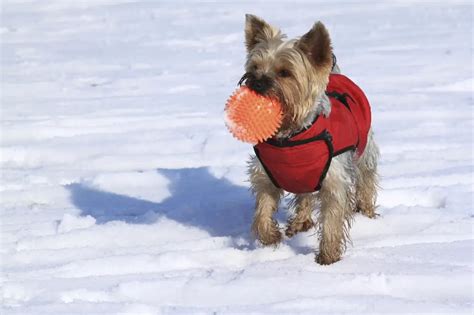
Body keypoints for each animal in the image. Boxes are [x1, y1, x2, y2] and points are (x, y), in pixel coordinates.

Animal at [243, 15, 380, 266]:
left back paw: (367, 213)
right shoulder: (266, 173)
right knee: (304, 195)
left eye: (284, 72)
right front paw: (270, 237)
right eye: (254, 67)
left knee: (366, 178)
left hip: (364, 150)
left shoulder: (333, 178)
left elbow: (333, 217)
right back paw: (300, 222)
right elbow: (263, 208)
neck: (291, 137)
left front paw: (328, 257)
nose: (256, 82)